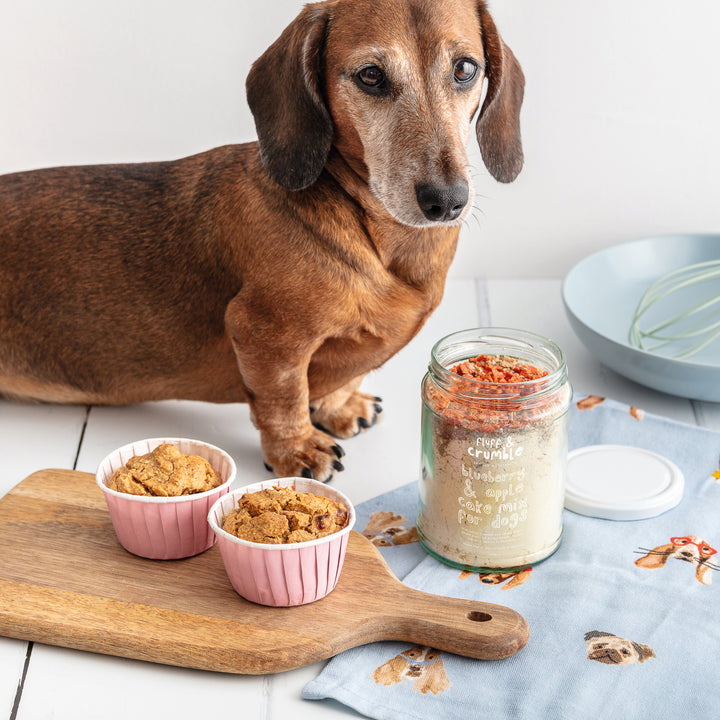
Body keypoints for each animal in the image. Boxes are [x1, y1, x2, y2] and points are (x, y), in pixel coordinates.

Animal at [0, 2, 520, 484]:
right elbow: (283, 397)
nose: (446, 201)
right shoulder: (265, 335)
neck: (370, 231)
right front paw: (297, 450)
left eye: (465, 68)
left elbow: (342, 375)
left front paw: (338, 405)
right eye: (371, 75)